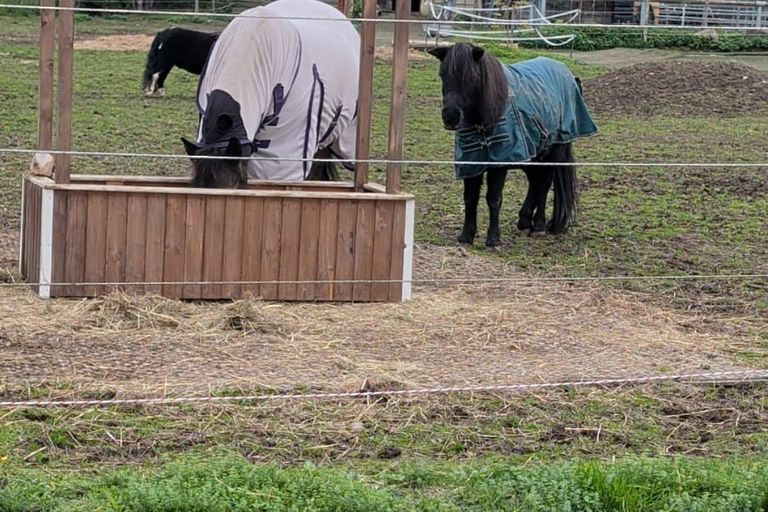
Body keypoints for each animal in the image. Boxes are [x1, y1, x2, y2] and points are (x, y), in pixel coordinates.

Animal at [428, 43, 598, 247]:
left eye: (471, 77)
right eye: (442, 74)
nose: (450, 117)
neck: (484, 118)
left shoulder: (499, 164)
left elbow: (493, 199)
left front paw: (493, 238)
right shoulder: (471, 163)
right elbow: (470, 198)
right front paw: (466, 236)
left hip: (553, 151)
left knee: (544, 183)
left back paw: (538, 225)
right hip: (532, 155)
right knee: (536, 182)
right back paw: (525, 222)